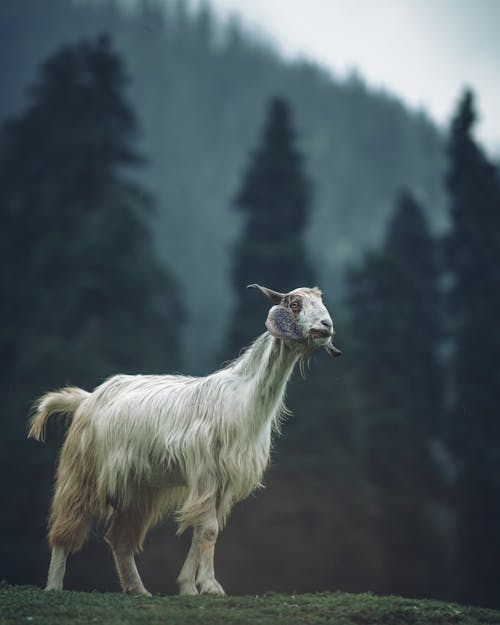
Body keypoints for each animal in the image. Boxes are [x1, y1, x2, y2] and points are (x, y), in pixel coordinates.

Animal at [27, 282, 340, 596]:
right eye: (296, 304)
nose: (327, 326)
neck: (243, 397)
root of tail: (86, 399)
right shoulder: (206, 470)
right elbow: (208, 529)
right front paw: (211, 586)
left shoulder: (223, 480)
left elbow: (201, 530)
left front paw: (189, 587)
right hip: (83, 470)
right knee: (67, 523)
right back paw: (54, 586)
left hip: (136, 487)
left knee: (120, 538)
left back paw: (138, 589)